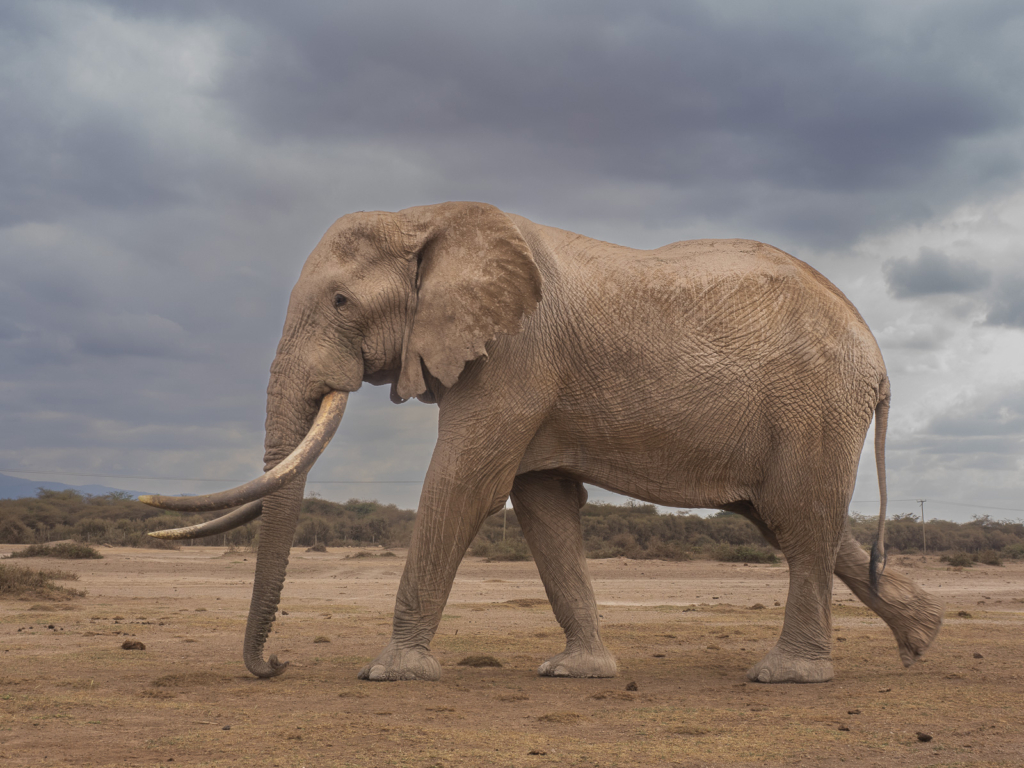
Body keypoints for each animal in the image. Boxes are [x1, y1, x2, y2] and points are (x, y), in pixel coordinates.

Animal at [142, 199, 942, 684]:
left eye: (340, 302)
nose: (275, 665)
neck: (426, 217)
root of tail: (875, 352)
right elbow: (542, 505)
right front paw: (578, 672)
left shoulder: (516, 353)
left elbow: (464, 482)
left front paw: (390, 673)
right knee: (791, 519)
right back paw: (922, 642)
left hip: (816, 405)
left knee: (802, 522)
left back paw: (788, 676)